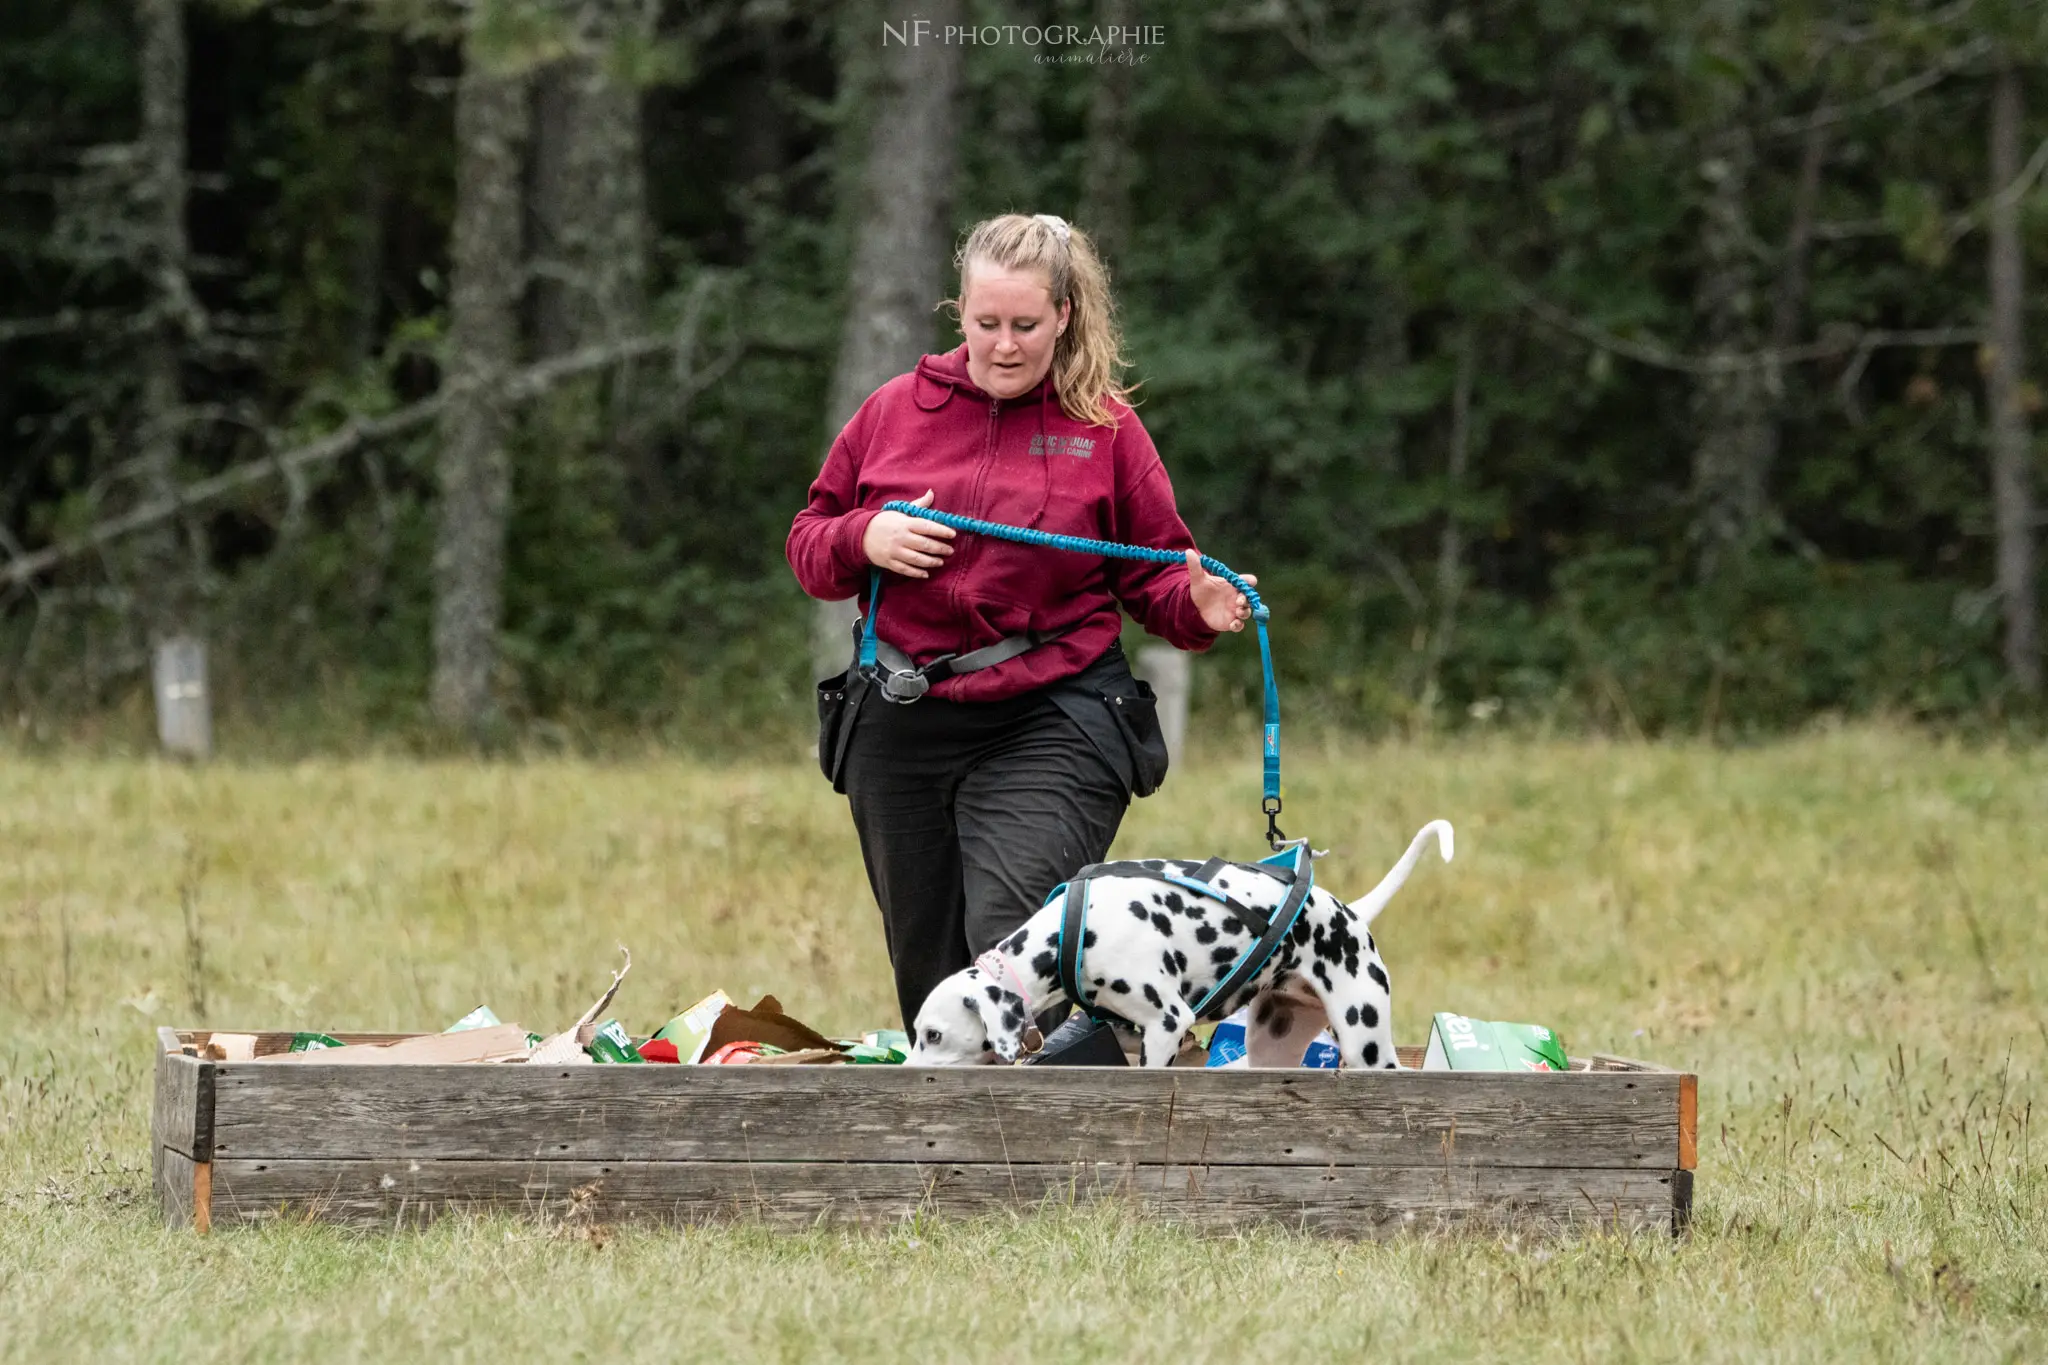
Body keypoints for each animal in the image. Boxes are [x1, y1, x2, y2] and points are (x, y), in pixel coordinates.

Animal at [913, 822, 1458, 1064]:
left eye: (933, 1035)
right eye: (916, 1034)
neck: (1077, 930)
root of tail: (1353, 915)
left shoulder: (1167, 1025)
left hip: (1365, 1040)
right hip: (1272, 1045)